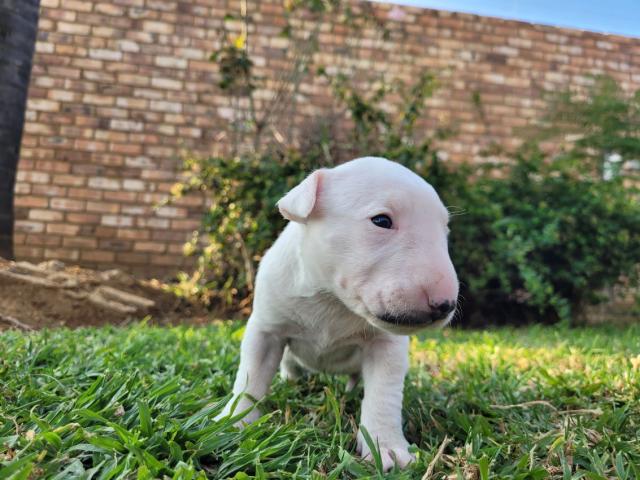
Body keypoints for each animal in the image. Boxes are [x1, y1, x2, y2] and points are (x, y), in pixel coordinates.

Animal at [218, 157, 458, 468]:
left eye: (445, 231)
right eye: (382, 221)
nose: (445, 304)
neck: (332, 299)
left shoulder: (386, 345)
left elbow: (383, 395)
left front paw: (387, 448)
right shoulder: (266, 331)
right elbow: (251, 376)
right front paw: (234, 422)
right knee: (289, 363)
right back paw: (291, 378)